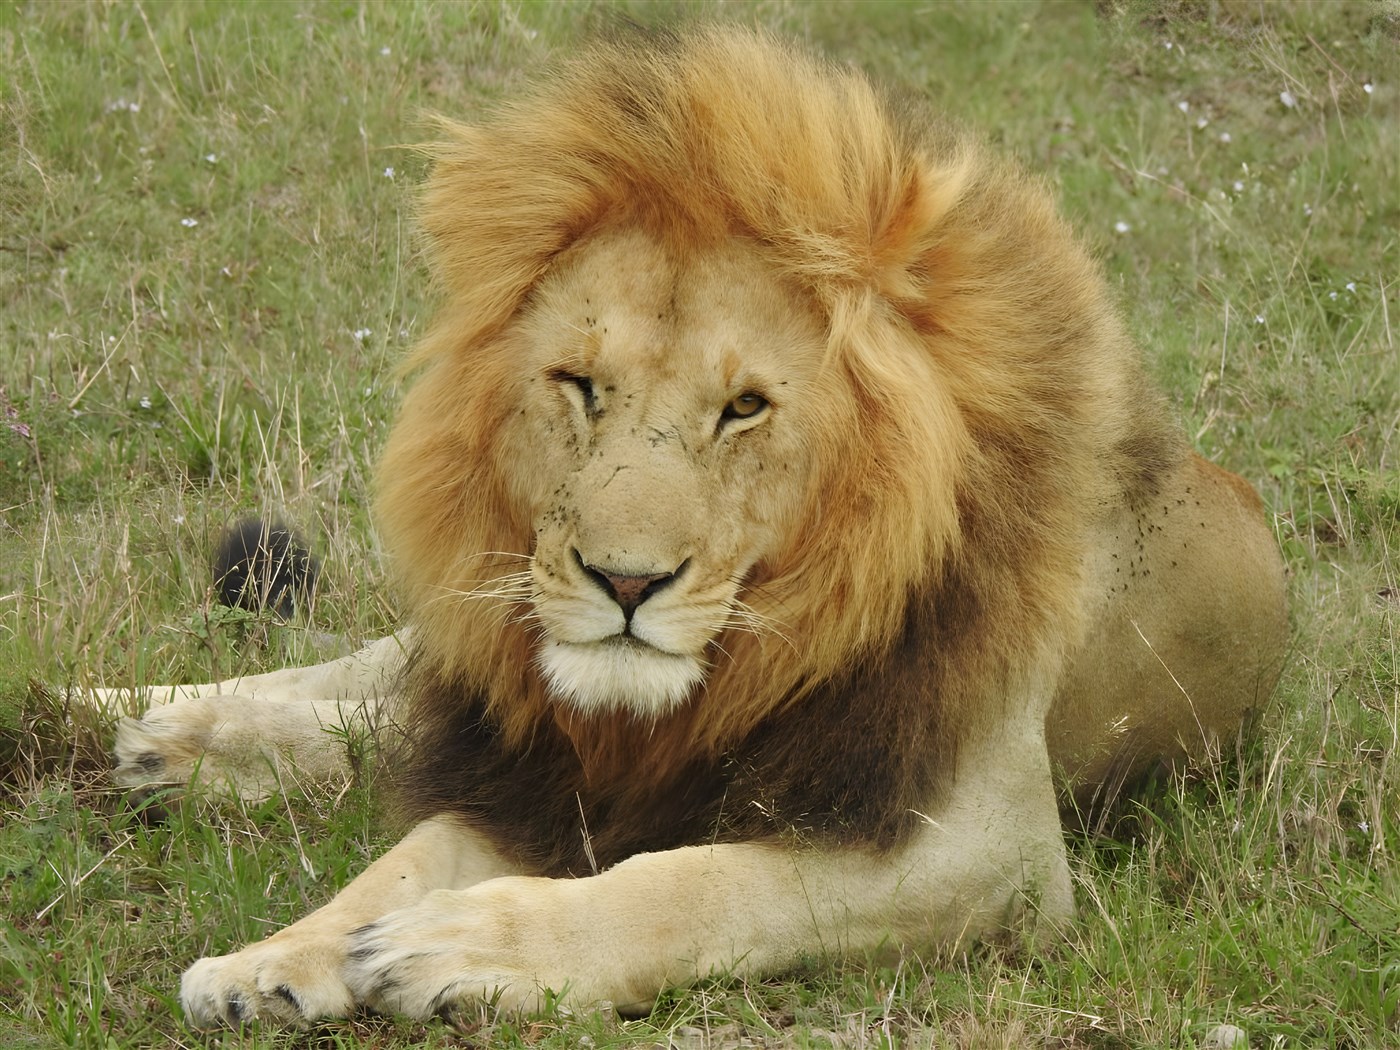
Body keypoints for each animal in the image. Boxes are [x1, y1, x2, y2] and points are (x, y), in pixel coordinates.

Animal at [88, 28, 1289, 1026]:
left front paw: (464, 947)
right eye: (578, 385)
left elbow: (695, 883)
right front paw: (275, 956)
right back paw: (146, 727)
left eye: (743, 408)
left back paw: (167, 750)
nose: (623, 584)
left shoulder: (986, 852)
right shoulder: (545, 768)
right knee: (354, 685)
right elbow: (406, 854)